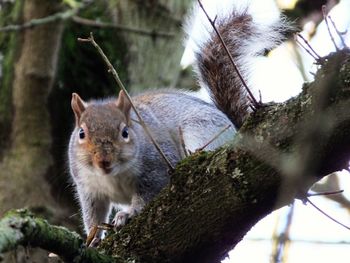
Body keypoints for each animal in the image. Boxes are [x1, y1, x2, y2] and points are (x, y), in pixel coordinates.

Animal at [67, 0, 288, 239]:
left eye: (125, 132)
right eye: (81, 133)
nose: (103, 160)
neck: (113, 175)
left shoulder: (156, 167)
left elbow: (147, 195)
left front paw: (128, 214)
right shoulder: (88, 187)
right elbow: (93, 214)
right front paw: (92, 238)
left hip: (199, 132)